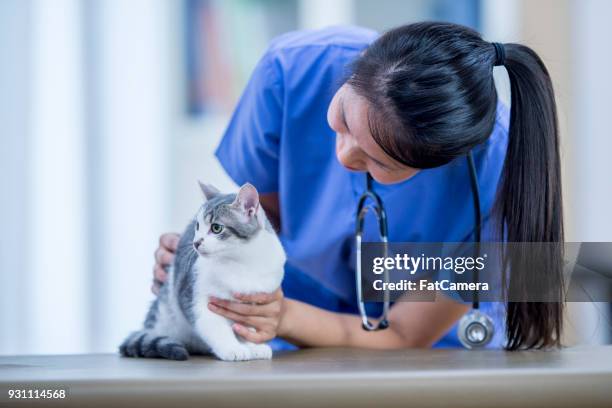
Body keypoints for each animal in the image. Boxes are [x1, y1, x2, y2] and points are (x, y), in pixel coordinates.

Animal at [119, 182, 286, 360]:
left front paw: (253, 346)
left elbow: (248, 327)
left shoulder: (252, 305)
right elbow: (214, 326)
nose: (196, 242)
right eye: (197, 226)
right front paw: (233, 348)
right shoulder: (195, 297)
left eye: (216, 228)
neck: (241, 261)